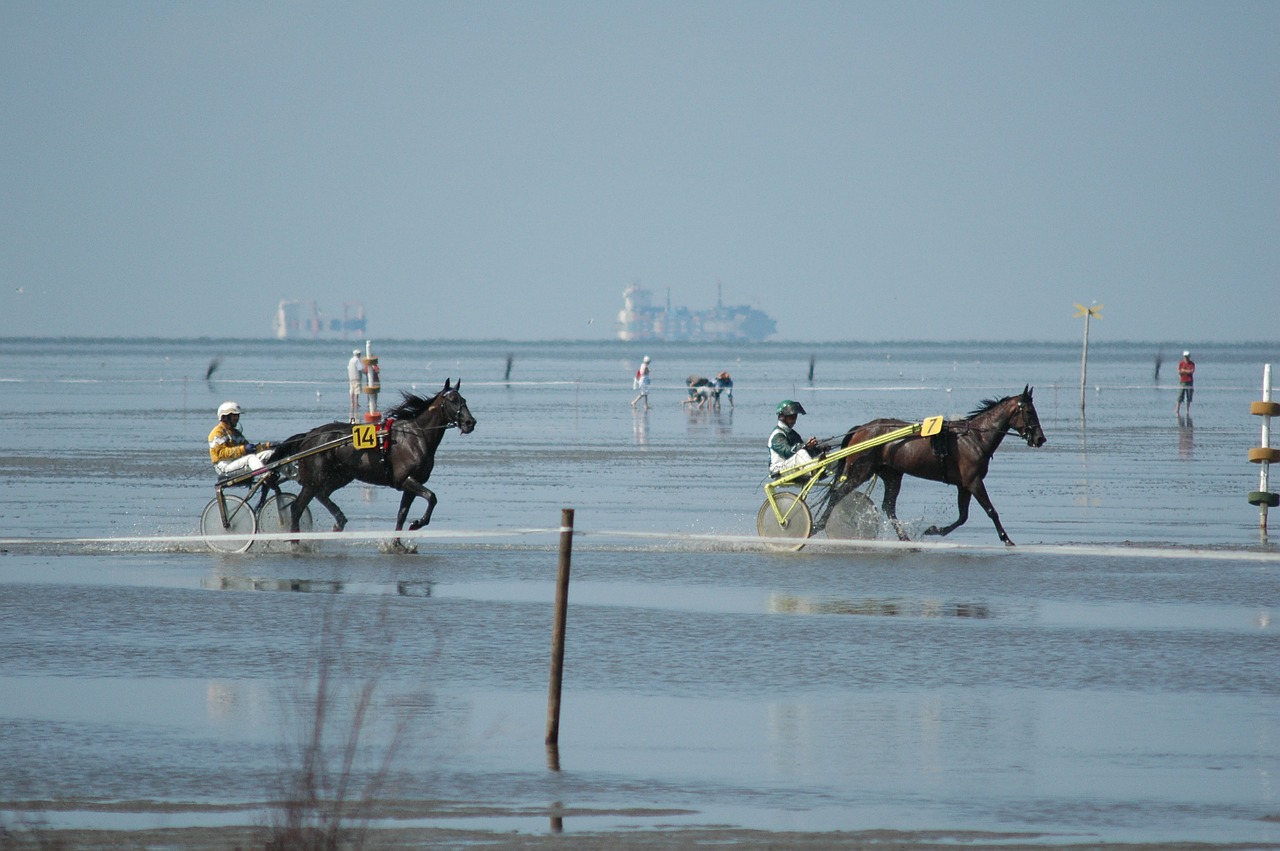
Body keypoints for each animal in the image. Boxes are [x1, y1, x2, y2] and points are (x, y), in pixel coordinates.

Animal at [276, 376, 481, 547]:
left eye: (464, 400)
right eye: (453, 400)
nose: (470, 422)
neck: (416, 437)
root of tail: (308, 436)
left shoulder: (410, 486)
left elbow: (402, 514)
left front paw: (397, 543)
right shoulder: (406, 479)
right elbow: (432, 497)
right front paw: (417, 523)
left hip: (339, 476)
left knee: (321, 494)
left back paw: (338, 521)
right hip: (315, 478)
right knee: (298, 507)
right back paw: (295, 541)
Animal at [829, 383, 1049, 545]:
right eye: (1029, 411)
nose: (1040, 439)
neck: (975, 438)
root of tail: (862, 428)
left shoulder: (964, 485)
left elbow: (963, 517)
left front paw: (934, 530)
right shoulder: (974, 481)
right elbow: (990, 510)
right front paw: (1006, 539)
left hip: (892, 474)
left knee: (888, 506)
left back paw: (905, 538)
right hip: (861, 470)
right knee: (838, 495)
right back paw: (821, 524)